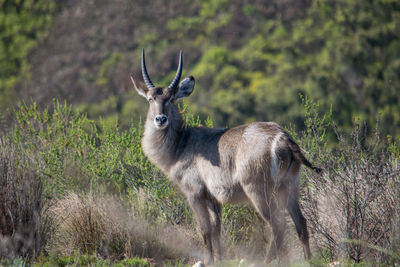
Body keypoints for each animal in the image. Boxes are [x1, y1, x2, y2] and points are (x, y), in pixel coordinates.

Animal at [131, 48, 322, 266]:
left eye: (172, 99)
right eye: (150, 99)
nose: (160, 119)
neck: (181, 143)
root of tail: (283, 137)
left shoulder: (194, 193)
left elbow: (205, 230)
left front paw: (207, 261)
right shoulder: (213, 198)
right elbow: (217, 230)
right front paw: (219, 260)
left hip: (258, 190)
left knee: (277, 225)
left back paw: (266, 261)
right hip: (289, 187)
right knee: (301, 223)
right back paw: (309, 260)